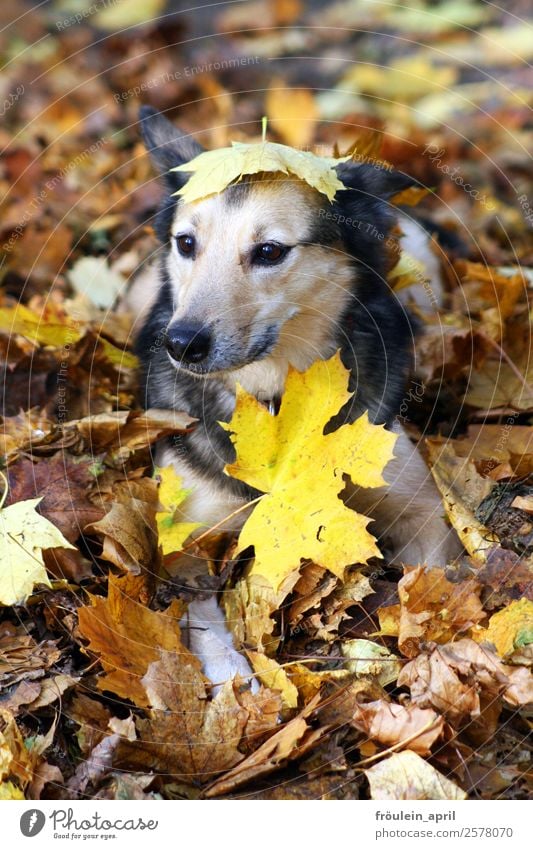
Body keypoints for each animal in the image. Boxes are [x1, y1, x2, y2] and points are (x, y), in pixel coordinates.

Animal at [128, 107, 462, 688]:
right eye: (186, 243)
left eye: (269, 252)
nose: (182, 343)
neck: (274, 397)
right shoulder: (182, 533)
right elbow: (198, 609)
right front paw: (231, 671)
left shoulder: (418, 507)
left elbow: (432, 577)